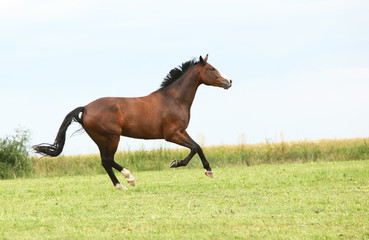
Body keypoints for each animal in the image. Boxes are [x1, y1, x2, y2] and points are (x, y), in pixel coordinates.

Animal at [33, 54, 231, 189]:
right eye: (212, 69)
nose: (229, 81)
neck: (174, 99)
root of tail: (86, 108)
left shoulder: (182, 132)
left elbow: (197, 146)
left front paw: (206, 170)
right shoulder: (172, 135)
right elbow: (195, 147)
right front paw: (178, 164)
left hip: (101, 140)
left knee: (105, 161)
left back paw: (120, 185)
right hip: (112, 138)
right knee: (108, 160)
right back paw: (129, 179)